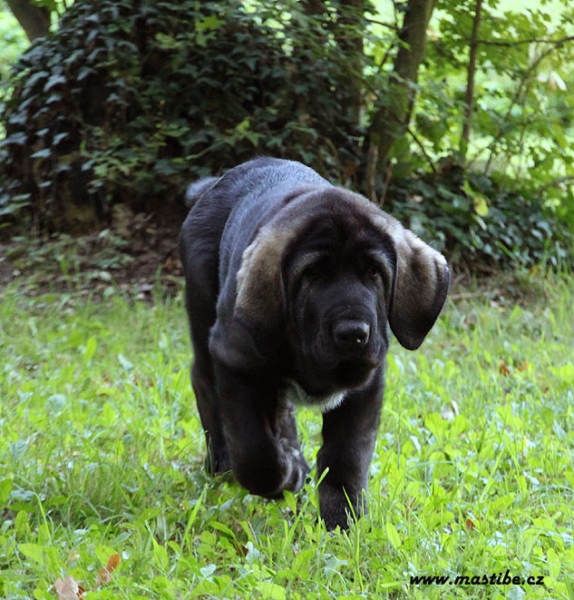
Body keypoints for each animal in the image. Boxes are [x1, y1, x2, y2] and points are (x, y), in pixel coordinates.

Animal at [180, 156, 450, 528]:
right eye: (313, 274)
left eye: (374, 272)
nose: (354, 332)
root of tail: (211, 186)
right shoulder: (235, 363)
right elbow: (254, 453)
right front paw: (287, 475)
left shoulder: (365, 387)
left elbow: (347, 456)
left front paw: (343, 521)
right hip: (203, 316)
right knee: (205, 386)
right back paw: (223, 462)